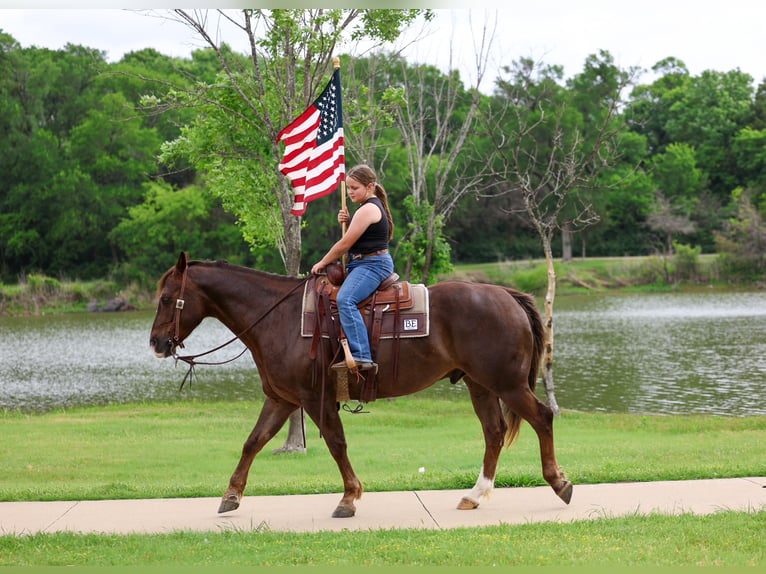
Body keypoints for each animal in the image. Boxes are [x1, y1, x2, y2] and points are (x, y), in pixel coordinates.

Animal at [149, 252, 572, 518]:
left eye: (168, 298)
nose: (156, 343)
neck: (278, 318)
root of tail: (507, 293)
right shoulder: (282, 399)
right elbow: (253, 442)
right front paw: (231, 495)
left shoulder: (313, 398)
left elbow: (336, 443)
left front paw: (349, 497)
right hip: (480, 384)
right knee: (494, 432)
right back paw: (475, 495)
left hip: (507, 383)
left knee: (542, 417)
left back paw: (559, 483)